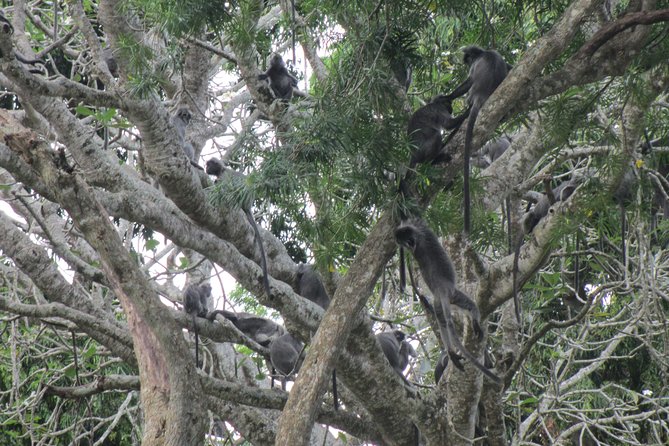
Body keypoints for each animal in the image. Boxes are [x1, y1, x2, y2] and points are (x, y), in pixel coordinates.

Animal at [206, 158, 271, 300]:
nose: (205, 167)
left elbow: (223, 188)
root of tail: (247, 204)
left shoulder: (224, 176)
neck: (222, 170)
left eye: (209, 165)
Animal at [395, 218, 499, 383]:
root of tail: (441, 289)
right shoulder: (420, 228)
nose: (407, 245)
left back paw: (451, 352)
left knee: (442, 321)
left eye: (403, 241)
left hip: (439, 302)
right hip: (454, 294)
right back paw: (475, 322)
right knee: (471, 306)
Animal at [446, 46, 511, 235]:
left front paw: (448, 96)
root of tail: (480, 96)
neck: (484, 52)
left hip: (471, 94)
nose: (466, 62)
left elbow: (467, 81)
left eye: (468, 59)